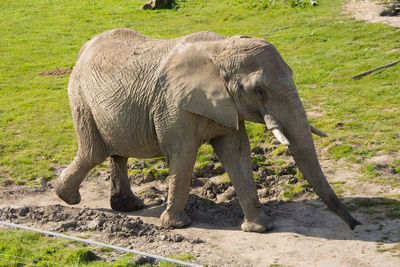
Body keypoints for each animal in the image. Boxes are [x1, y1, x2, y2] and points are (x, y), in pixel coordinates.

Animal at [54, 28, 360, 232]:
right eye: (258, 91)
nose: (355, 225)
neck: (219, 50)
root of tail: (85, 46)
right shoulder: (173, 105)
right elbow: (183, 155)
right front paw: (176, 226)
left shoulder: (227, 105)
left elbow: (237, 154)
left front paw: (259, 228)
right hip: (79, 97)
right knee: (93, 152)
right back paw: (67, 197)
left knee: (117, 154)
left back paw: (127, 207)